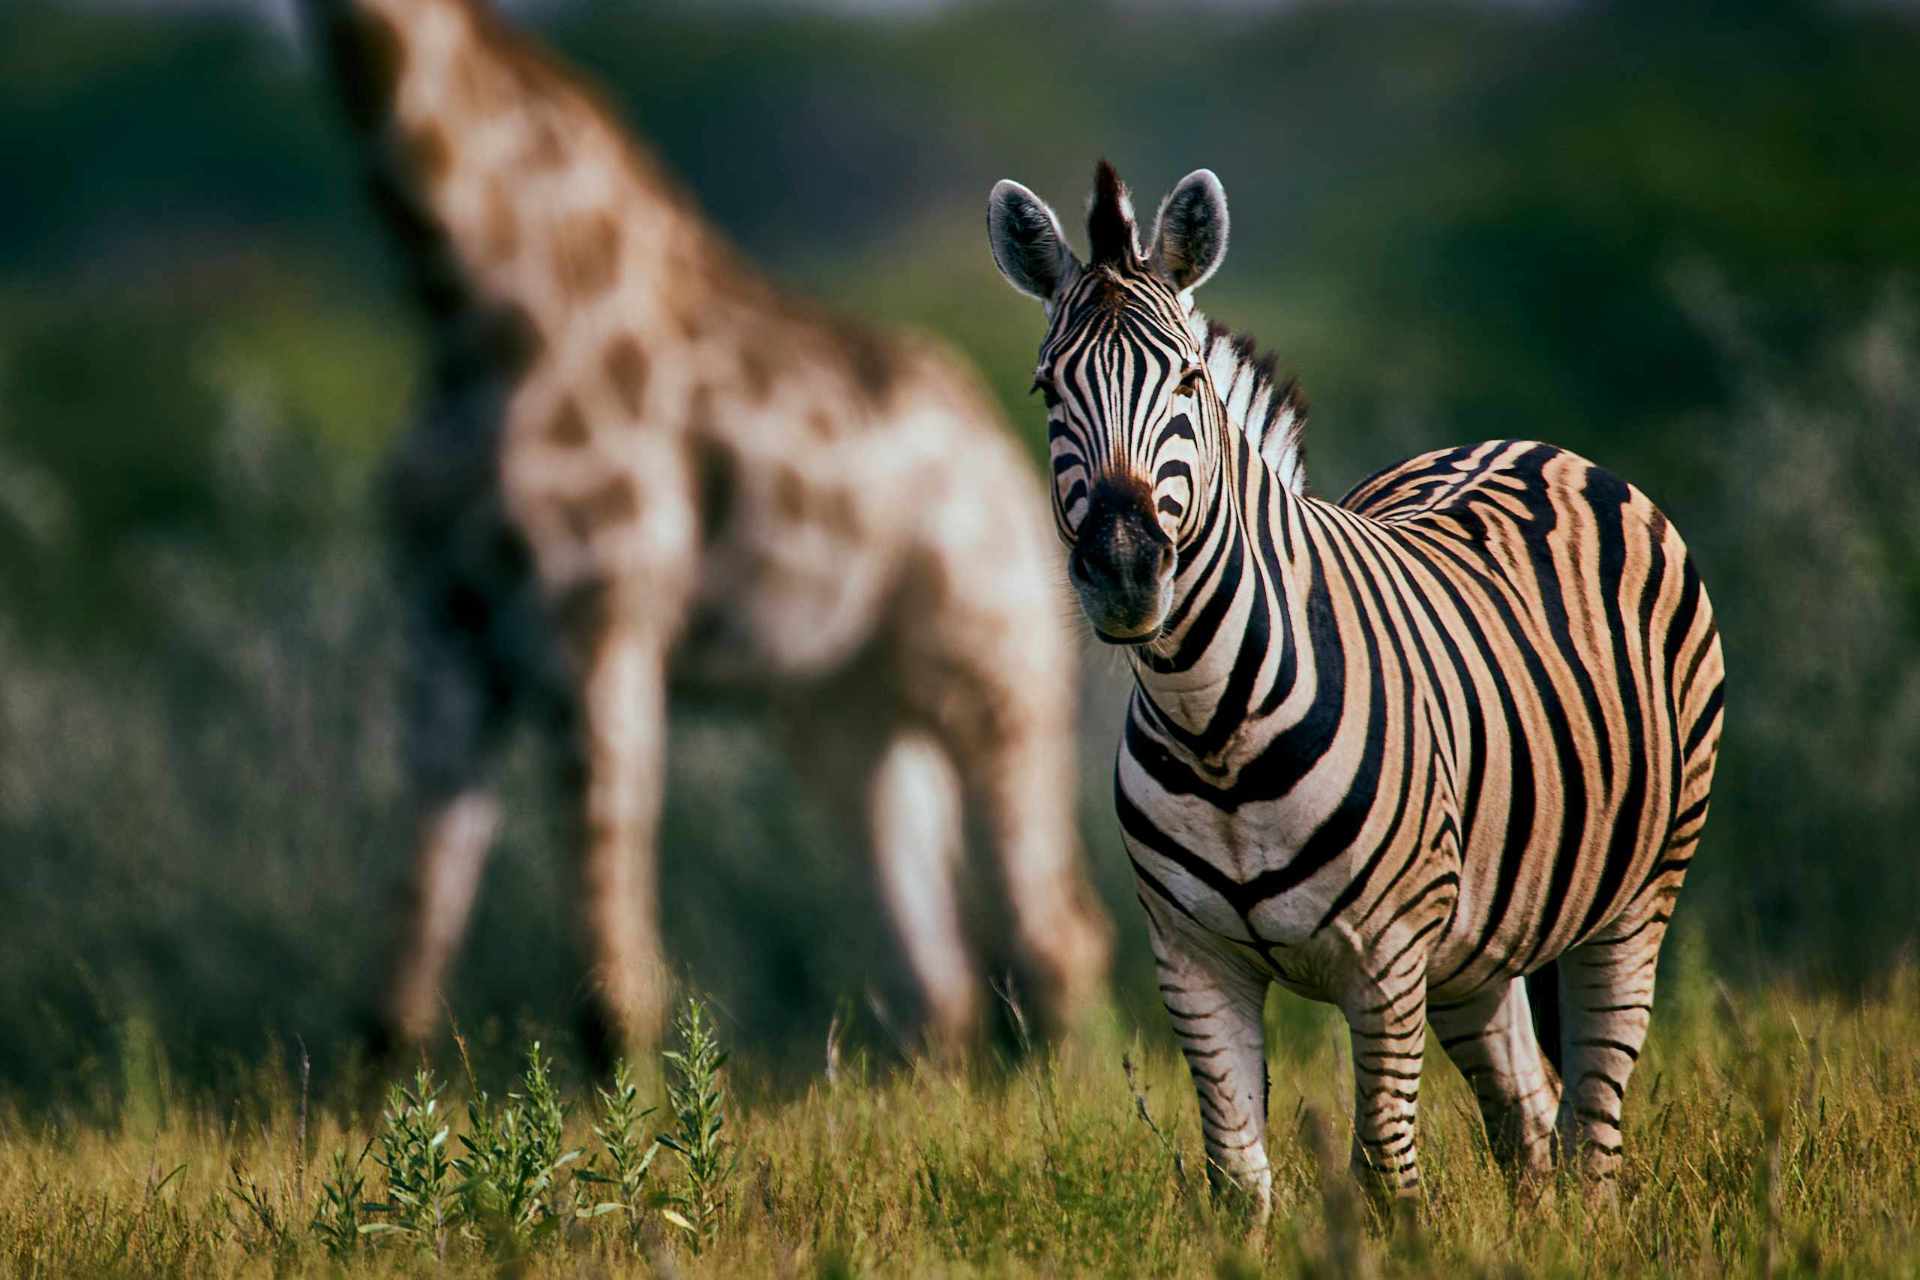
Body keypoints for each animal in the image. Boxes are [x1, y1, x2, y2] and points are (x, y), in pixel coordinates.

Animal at [299, 0, 1113, 1059]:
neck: (473, 304)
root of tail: (1005, 463)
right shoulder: (448, 621)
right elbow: (395, 992)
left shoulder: (602, 613)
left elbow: (615, 993)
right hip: (844, 714)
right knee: (938, 973)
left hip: (992, 669)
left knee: (1058, 934)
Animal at [990, 165, 1728, 1220]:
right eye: (1048, 389)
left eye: (1189, 382)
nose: (1125, 568)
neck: (1215, 728)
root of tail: (1532, 446)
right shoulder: (1193, 963)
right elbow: (1238, 1181)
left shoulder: (1386, 958)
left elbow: (1383, 1171)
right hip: (1477, 942)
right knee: (1528, 1118)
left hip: (1638, 890)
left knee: (1594, 1121)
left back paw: (1588, 1222)